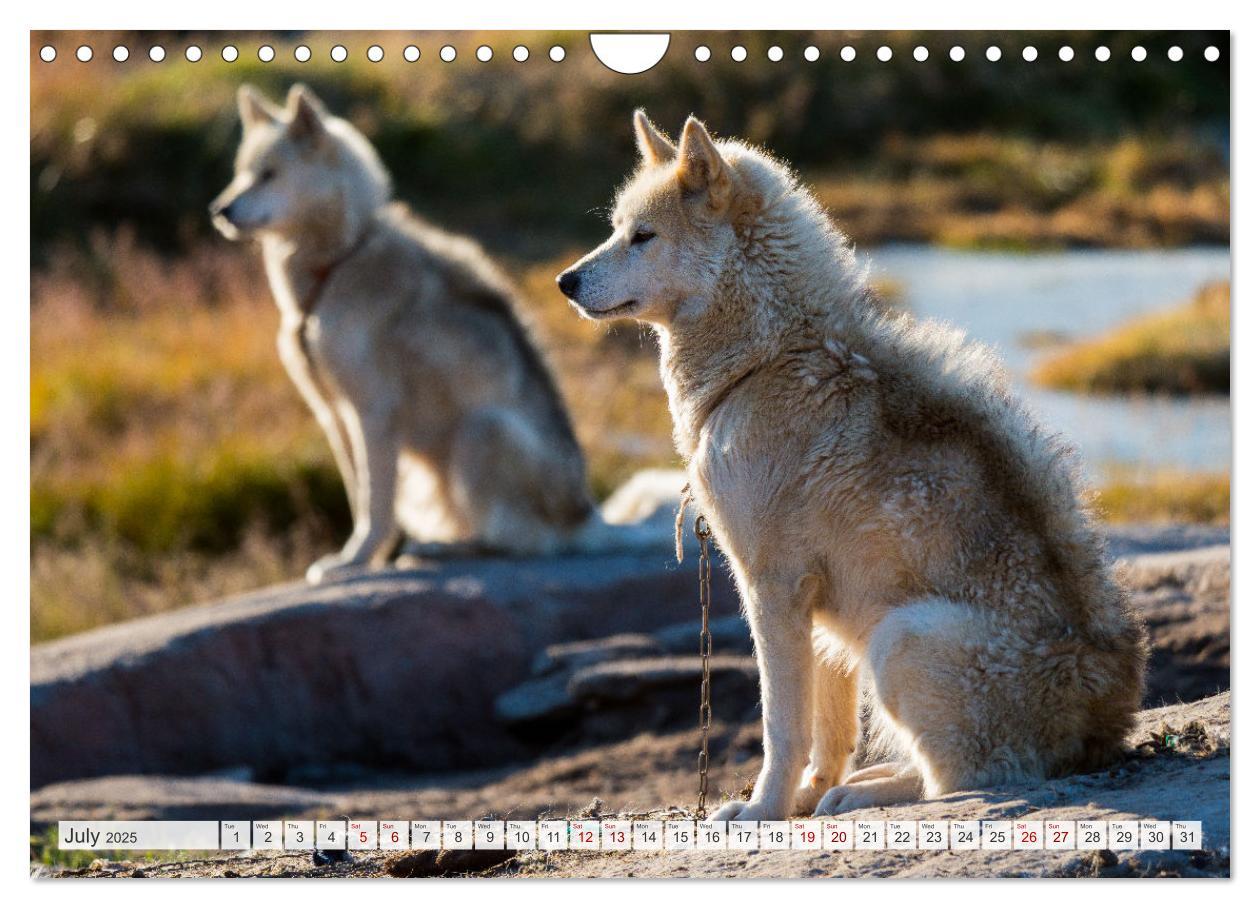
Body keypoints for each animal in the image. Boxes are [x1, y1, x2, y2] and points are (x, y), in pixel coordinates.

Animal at [212, 86, 604, 581]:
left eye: (268, 174)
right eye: (240, 174)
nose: (219, 211)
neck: (339, 261)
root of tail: (588, 519)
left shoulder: (373, 411)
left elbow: (373, 506)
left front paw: (355, 560)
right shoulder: (334, 413)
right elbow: (359, 494)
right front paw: (362, 557)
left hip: (481, 431)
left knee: (522, 542)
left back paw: (445, 549)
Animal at [561, 109, 1154, 816]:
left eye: (643, 237)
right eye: (614, 230)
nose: (564, 282)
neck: (764, 360)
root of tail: (1105, 730)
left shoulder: (772, 587)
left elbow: (782, 728)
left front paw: (761, 810)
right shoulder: (813, 608)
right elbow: (828, 733)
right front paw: (803, 798)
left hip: (898, 639)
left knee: (961, 781)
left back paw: (864, 795)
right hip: (878, 643)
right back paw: (854, 788)